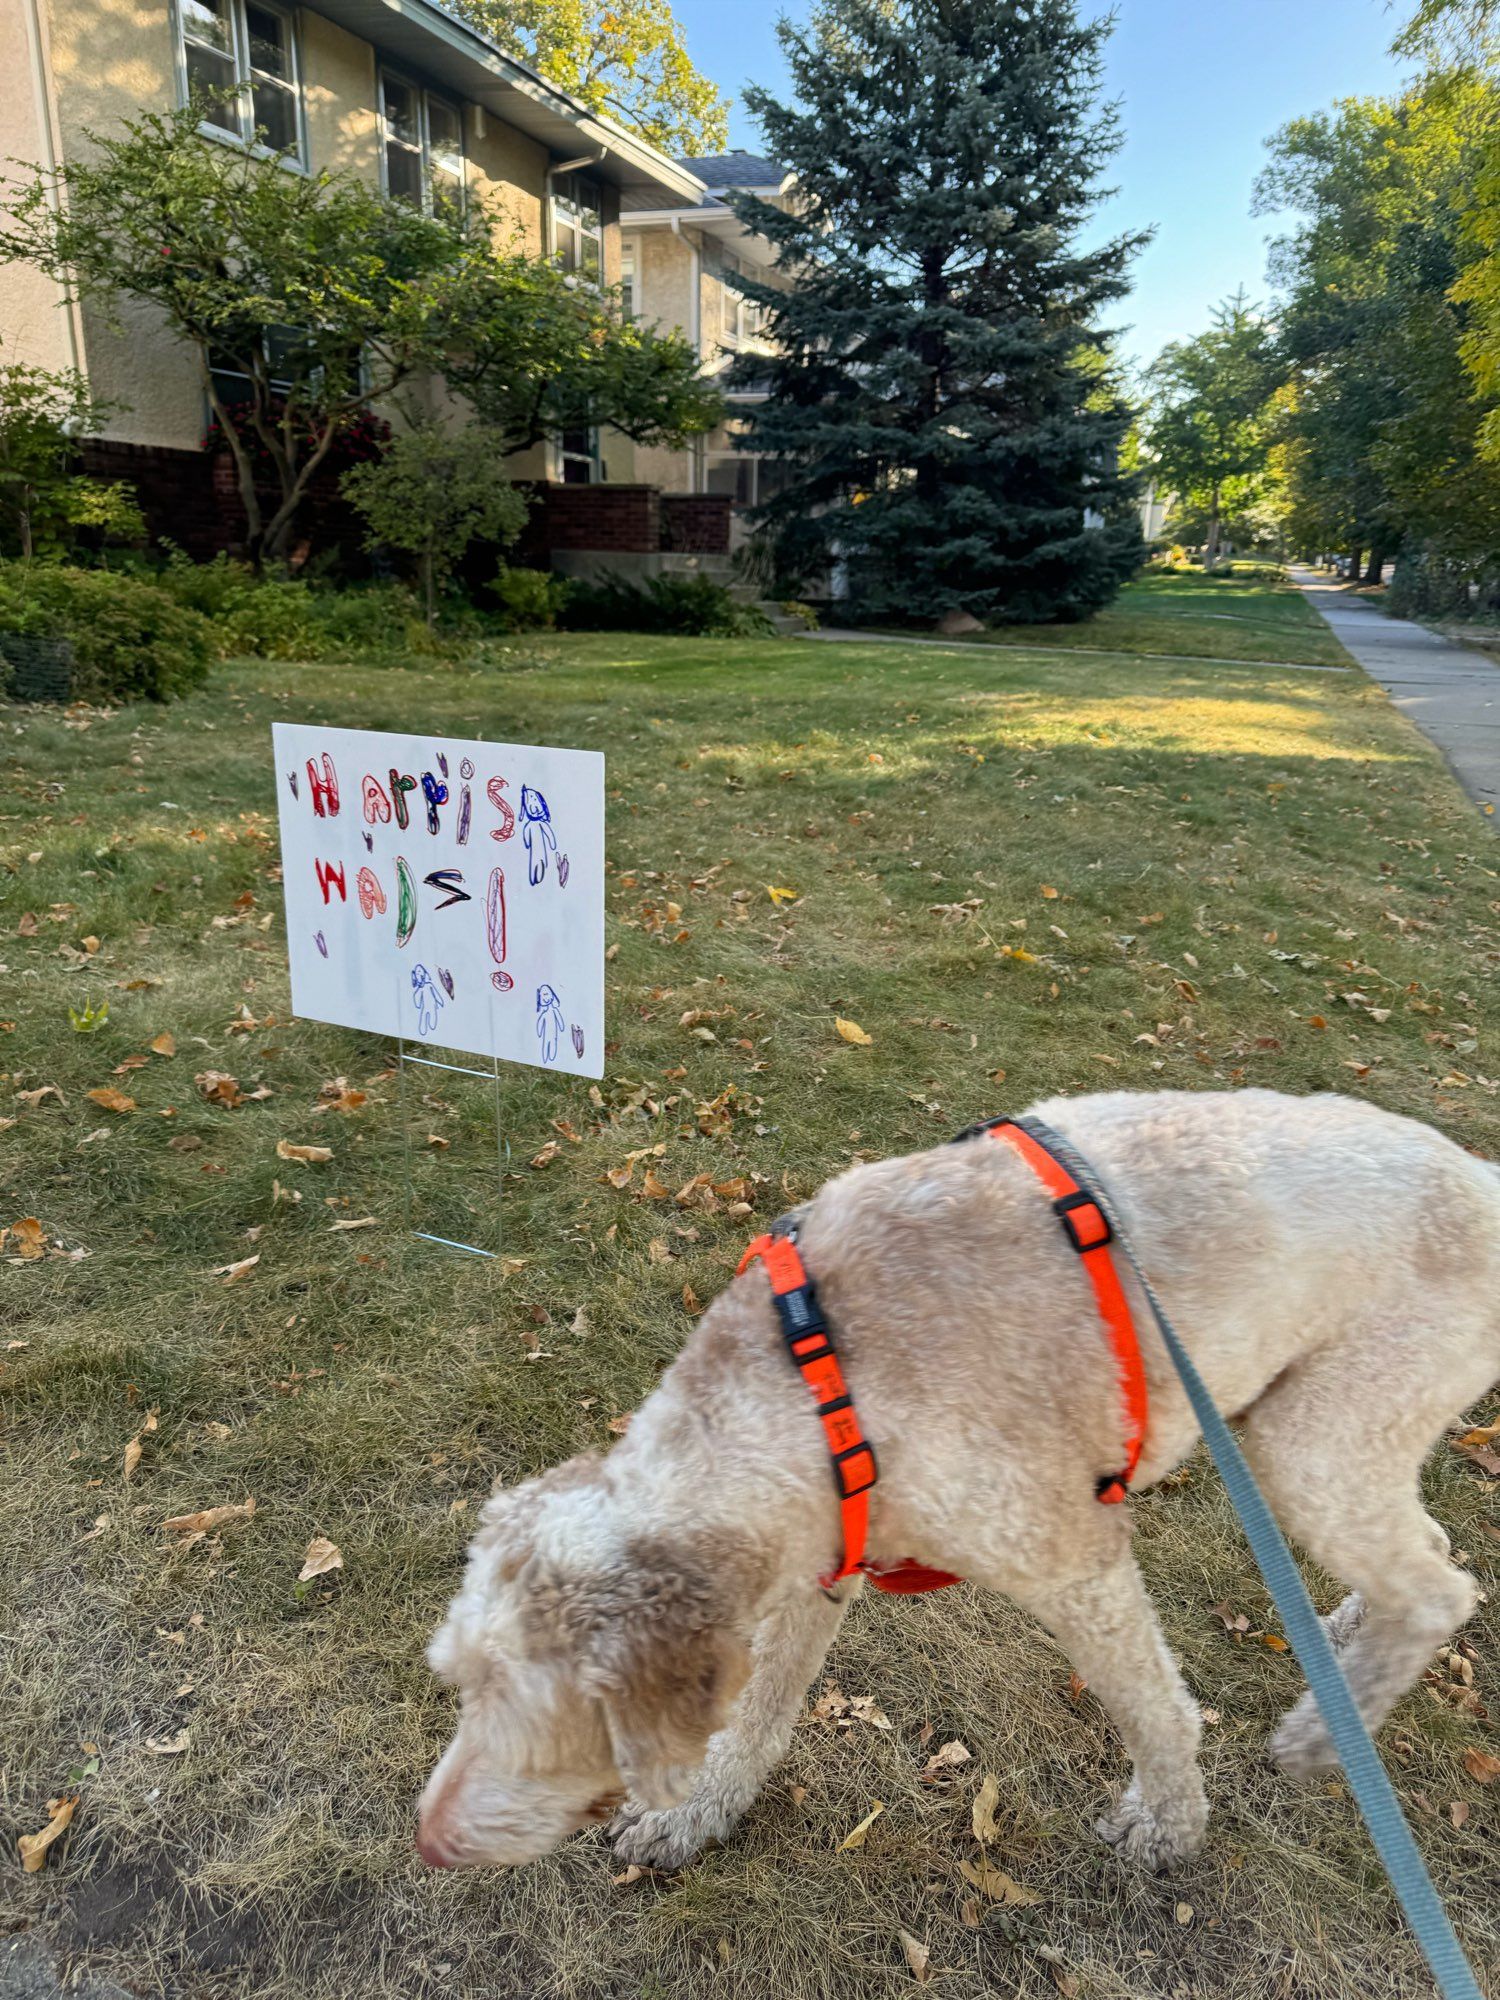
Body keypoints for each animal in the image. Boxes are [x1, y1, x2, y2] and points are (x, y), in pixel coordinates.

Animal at [414, 1088, 1500, 1864]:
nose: (428, 1841)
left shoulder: (1076, 1565)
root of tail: (1484, 1178)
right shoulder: (819, 1558)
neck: (820, 1381)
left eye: (540, 1719)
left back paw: (1323, 1732)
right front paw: (697, 1817)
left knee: (1442, 1587)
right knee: (1424, 1555)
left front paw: (1169, 1825)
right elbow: (759, 1711)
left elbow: (1157, 1712)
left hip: (1312, 1438)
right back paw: (1345, 1655)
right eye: (458, 1687)